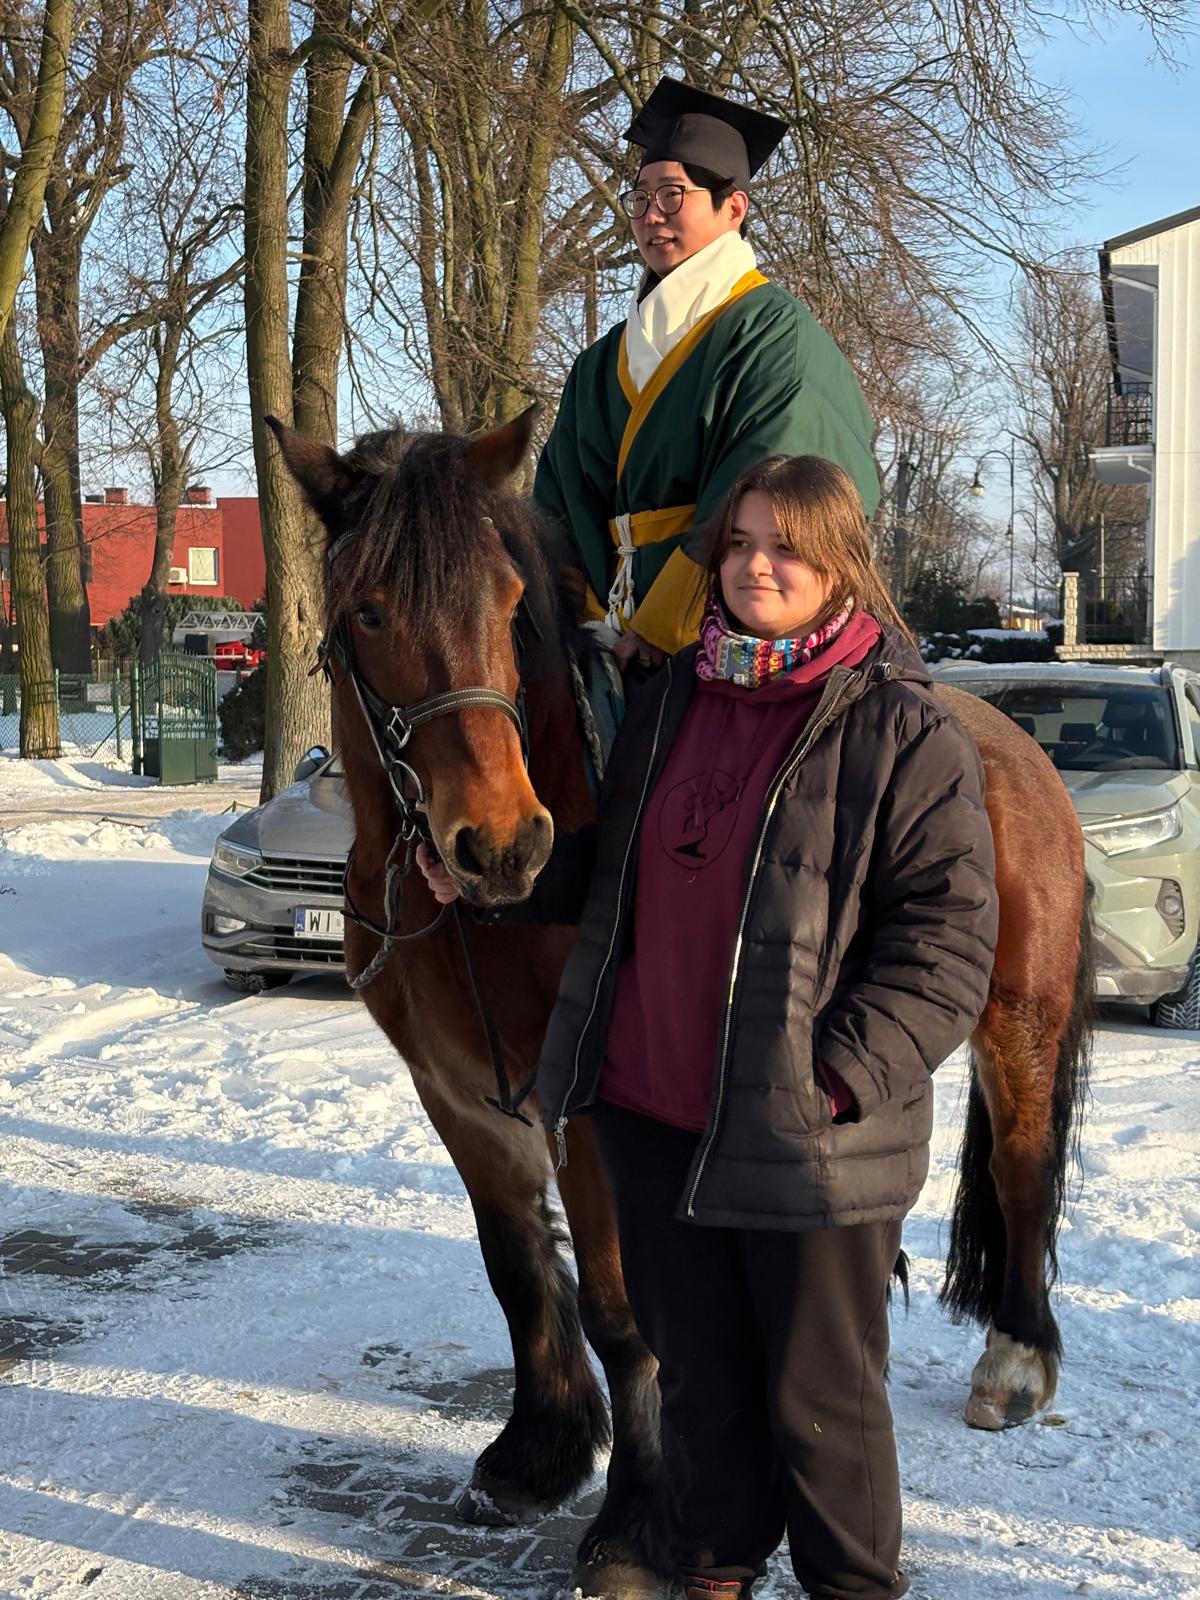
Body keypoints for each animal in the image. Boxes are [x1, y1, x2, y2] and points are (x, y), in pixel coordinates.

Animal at [266, 407, 1091, 1595]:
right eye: (369, 609)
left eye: (509, 608)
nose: (501, 844)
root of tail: (1017, 749)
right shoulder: (460, 1098)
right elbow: (519, 1272)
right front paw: (540, 1451)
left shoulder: (585, 1110)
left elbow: (620, 1311)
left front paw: (636, 1523)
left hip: (1018, 1018)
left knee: (1022, 1169)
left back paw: (1017, 1359)